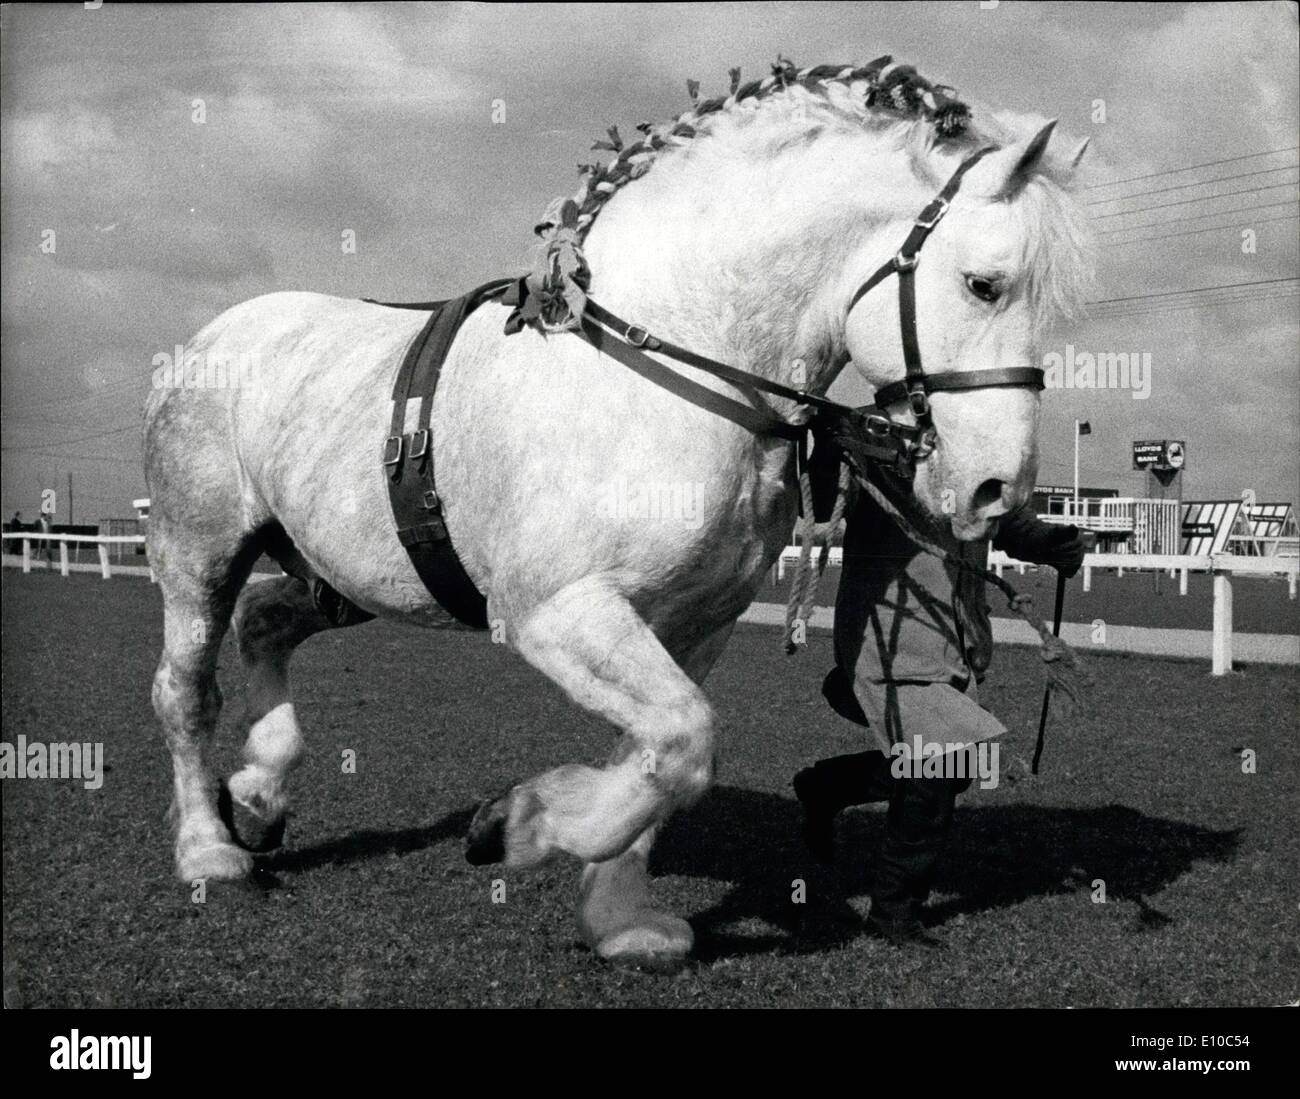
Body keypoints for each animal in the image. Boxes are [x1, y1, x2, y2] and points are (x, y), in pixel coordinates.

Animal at [147, 64, 1092, 962]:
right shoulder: (558, 611)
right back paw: (210, 849)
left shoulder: (692, 624)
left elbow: (661, 756)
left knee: (266, 622)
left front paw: (620, 919)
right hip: (199, 556)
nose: (997, 490)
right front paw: (520, 824)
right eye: (983, 284)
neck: (675, 375)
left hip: (342, 574)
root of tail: (209, 339)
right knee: (185, 689)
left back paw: (259, 793)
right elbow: (681, 740)